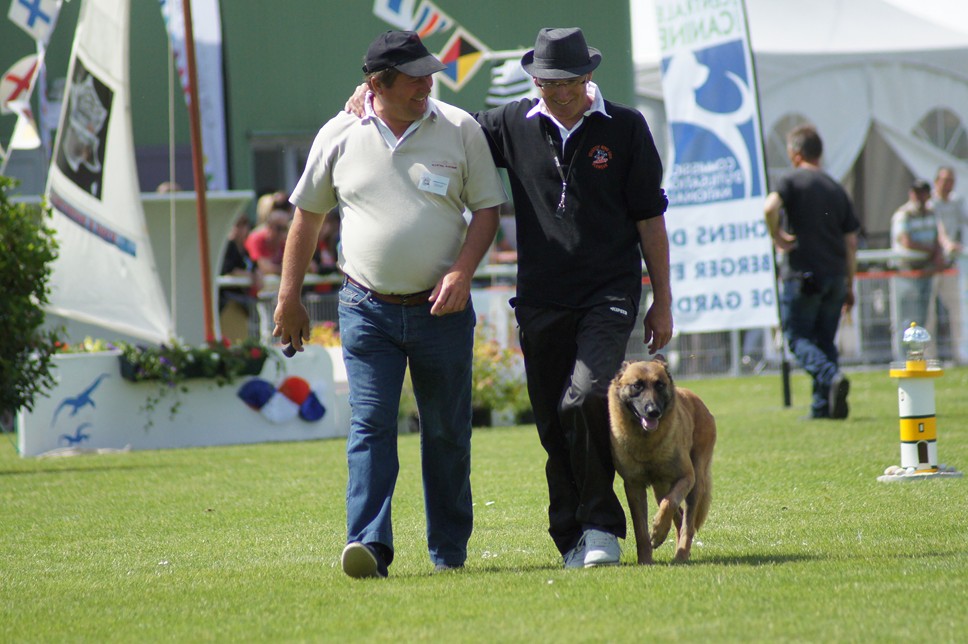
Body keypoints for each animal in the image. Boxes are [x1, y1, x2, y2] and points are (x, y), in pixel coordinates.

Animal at [608, 358, 716, 564]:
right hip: (660, 489)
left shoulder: (686, 478)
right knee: (679, 518)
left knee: (687, 524)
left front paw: (658, 532)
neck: (647, 442)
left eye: (660, 385)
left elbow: (670, 503)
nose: (653, 412)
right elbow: (640, 529)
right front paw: (645, 560)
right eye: (637, 385)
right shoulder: (634, 487)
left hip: (695, 483)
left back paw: (681, 554)